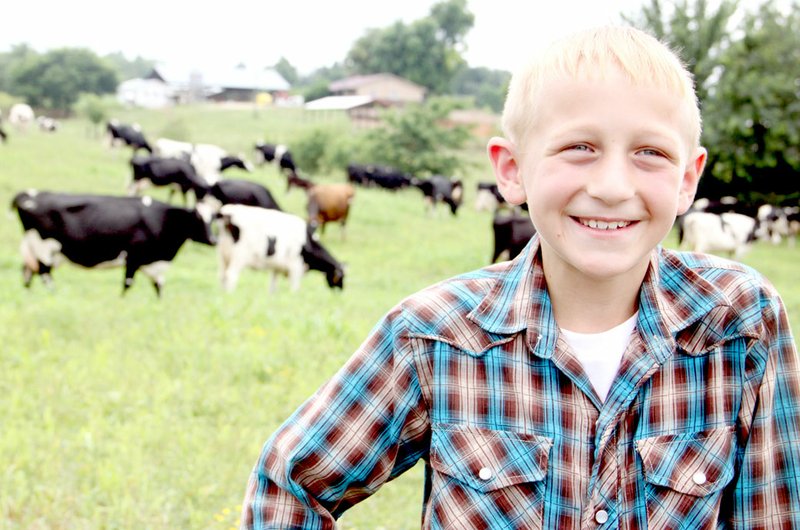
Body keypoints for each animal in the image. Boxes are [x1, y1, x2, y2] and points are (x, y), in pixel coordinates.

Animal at [10, 188, 216, 294]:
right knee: (44, 274)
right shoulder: (133, 258)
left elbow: (159, 287)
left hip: (37, 250)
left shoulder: (154, 265)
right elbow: (127, 285)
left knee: (28, 273)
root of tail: (29, 194)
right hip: (44, 248)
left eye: (213, 218)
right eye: (197, 219)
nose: (213, 240)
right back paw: (54, 293)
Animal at [216, 203, 344, 292]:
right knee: (231, 275)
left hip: (223, 256)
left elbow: (273, 287)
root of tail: (228, 212)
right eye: (341, 277)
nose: (340, 291)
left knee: (222, 276)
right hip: (239, 256)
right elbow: (294, 289)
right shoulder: (295, 267)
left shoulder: (277, 267)